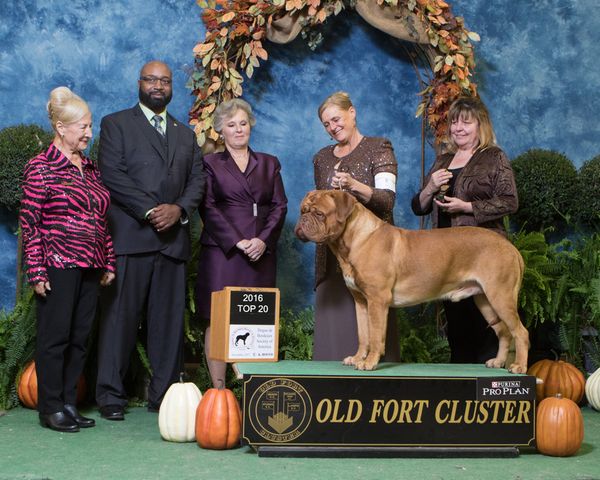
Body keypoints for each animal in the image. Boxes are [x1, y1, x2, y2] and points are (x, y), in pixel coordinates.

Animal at [296, 189, 528, 374]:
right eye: (302, 210)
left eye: (319, 214)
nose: (302, 222)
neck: (353, 240)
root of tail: (510, 247)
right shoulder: (361, 302)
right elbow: (363, 334)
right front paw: (358, 357)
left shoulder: (377, 301)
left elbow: (375, 335)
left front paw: (369, 362)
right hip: (485, 300)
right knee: (504, 332)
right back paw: (497, 361)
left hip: (500, 296)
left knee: (520, 332)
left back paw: (519, 366)